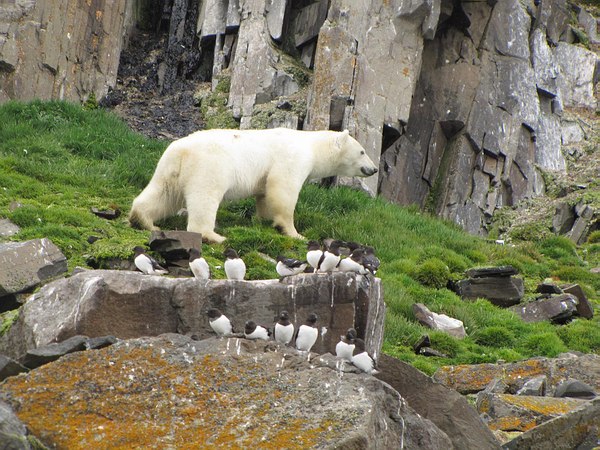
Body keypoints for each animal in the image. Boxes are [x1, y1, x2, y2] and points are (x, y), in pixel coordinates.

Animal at [129, 128, 378, 244]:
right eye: (362, 151)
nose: (374, 169)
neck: (311, 145)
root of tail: (181, 151)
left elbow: (265, 194)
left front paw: (265, 220)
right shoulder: (293, 158)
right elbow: (283, 188)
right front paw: (294, 232)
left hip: (169, 168)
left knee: (163, 194)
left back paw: (145, 220)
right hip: (209, 167)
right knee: (205, 198)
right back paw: (215, 236)